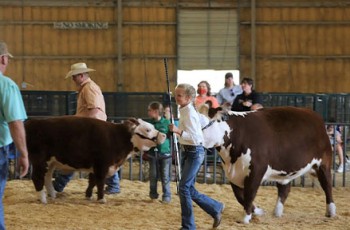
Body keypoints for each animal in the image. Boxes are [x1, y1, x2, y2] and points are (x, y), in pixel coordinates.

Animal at [26, 116, 165, 204]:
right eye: (147, 129)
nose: (163, 135)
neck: (118, 137)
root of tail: (33, 122)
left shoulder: (96, 166)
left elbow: (92, 181)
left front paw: (89, 196)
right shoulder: (102, 165)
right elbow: (100, 182)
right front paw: (101, 199)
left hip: (51, 163)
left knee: (47, 177)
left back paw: (52, 195)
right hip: (39, 160)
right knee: (37, 177)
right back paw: (43, 199)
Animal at [202, 107, 336, 224]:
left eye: (209, 123)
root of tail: (314, 114)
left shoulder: (256, 170)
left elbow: (249, 194)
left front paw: (245, 218)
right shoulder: (233, 175)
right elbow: (240, 197)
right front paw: (258, 211)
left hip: (323, 164)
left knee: (327, 186)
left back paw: (331, 211)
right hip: (285, 171)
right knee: (284, 190)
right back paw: (277, 212)